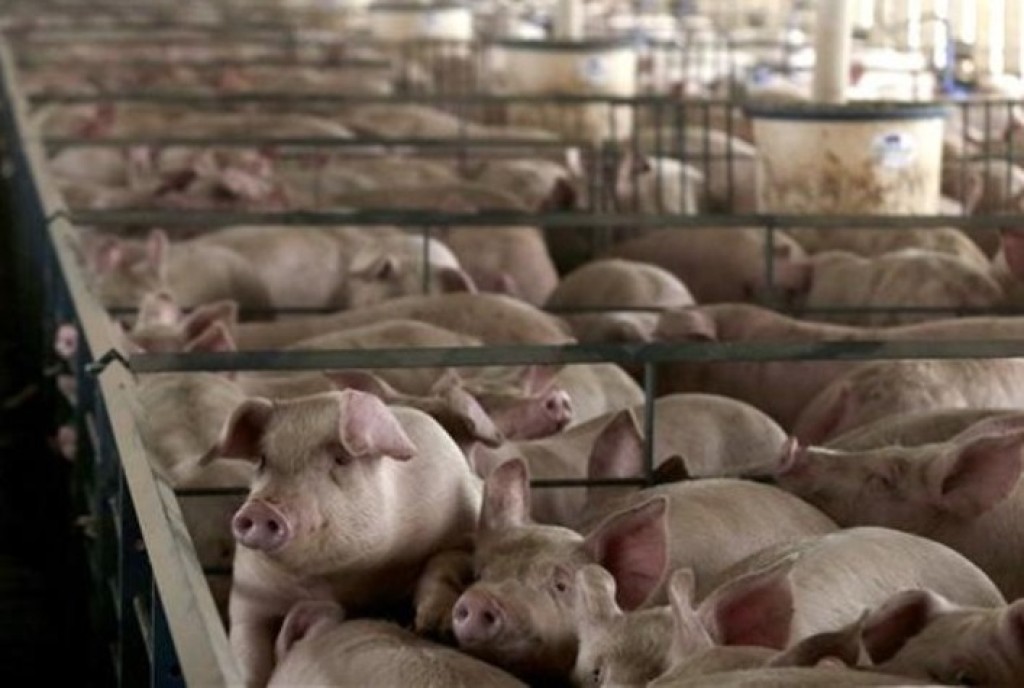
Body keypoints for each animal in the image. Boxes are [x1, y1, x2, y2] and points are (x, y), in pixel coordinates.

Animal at [203, 391, 481, 687]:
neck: (342, 579)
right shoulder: (249, 591)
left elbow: (443, 561)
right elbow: (248, 650)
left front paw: (435, 627)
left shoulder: (462, 528)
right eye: (264, 460)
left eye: (341, 459)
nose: (260, 509)